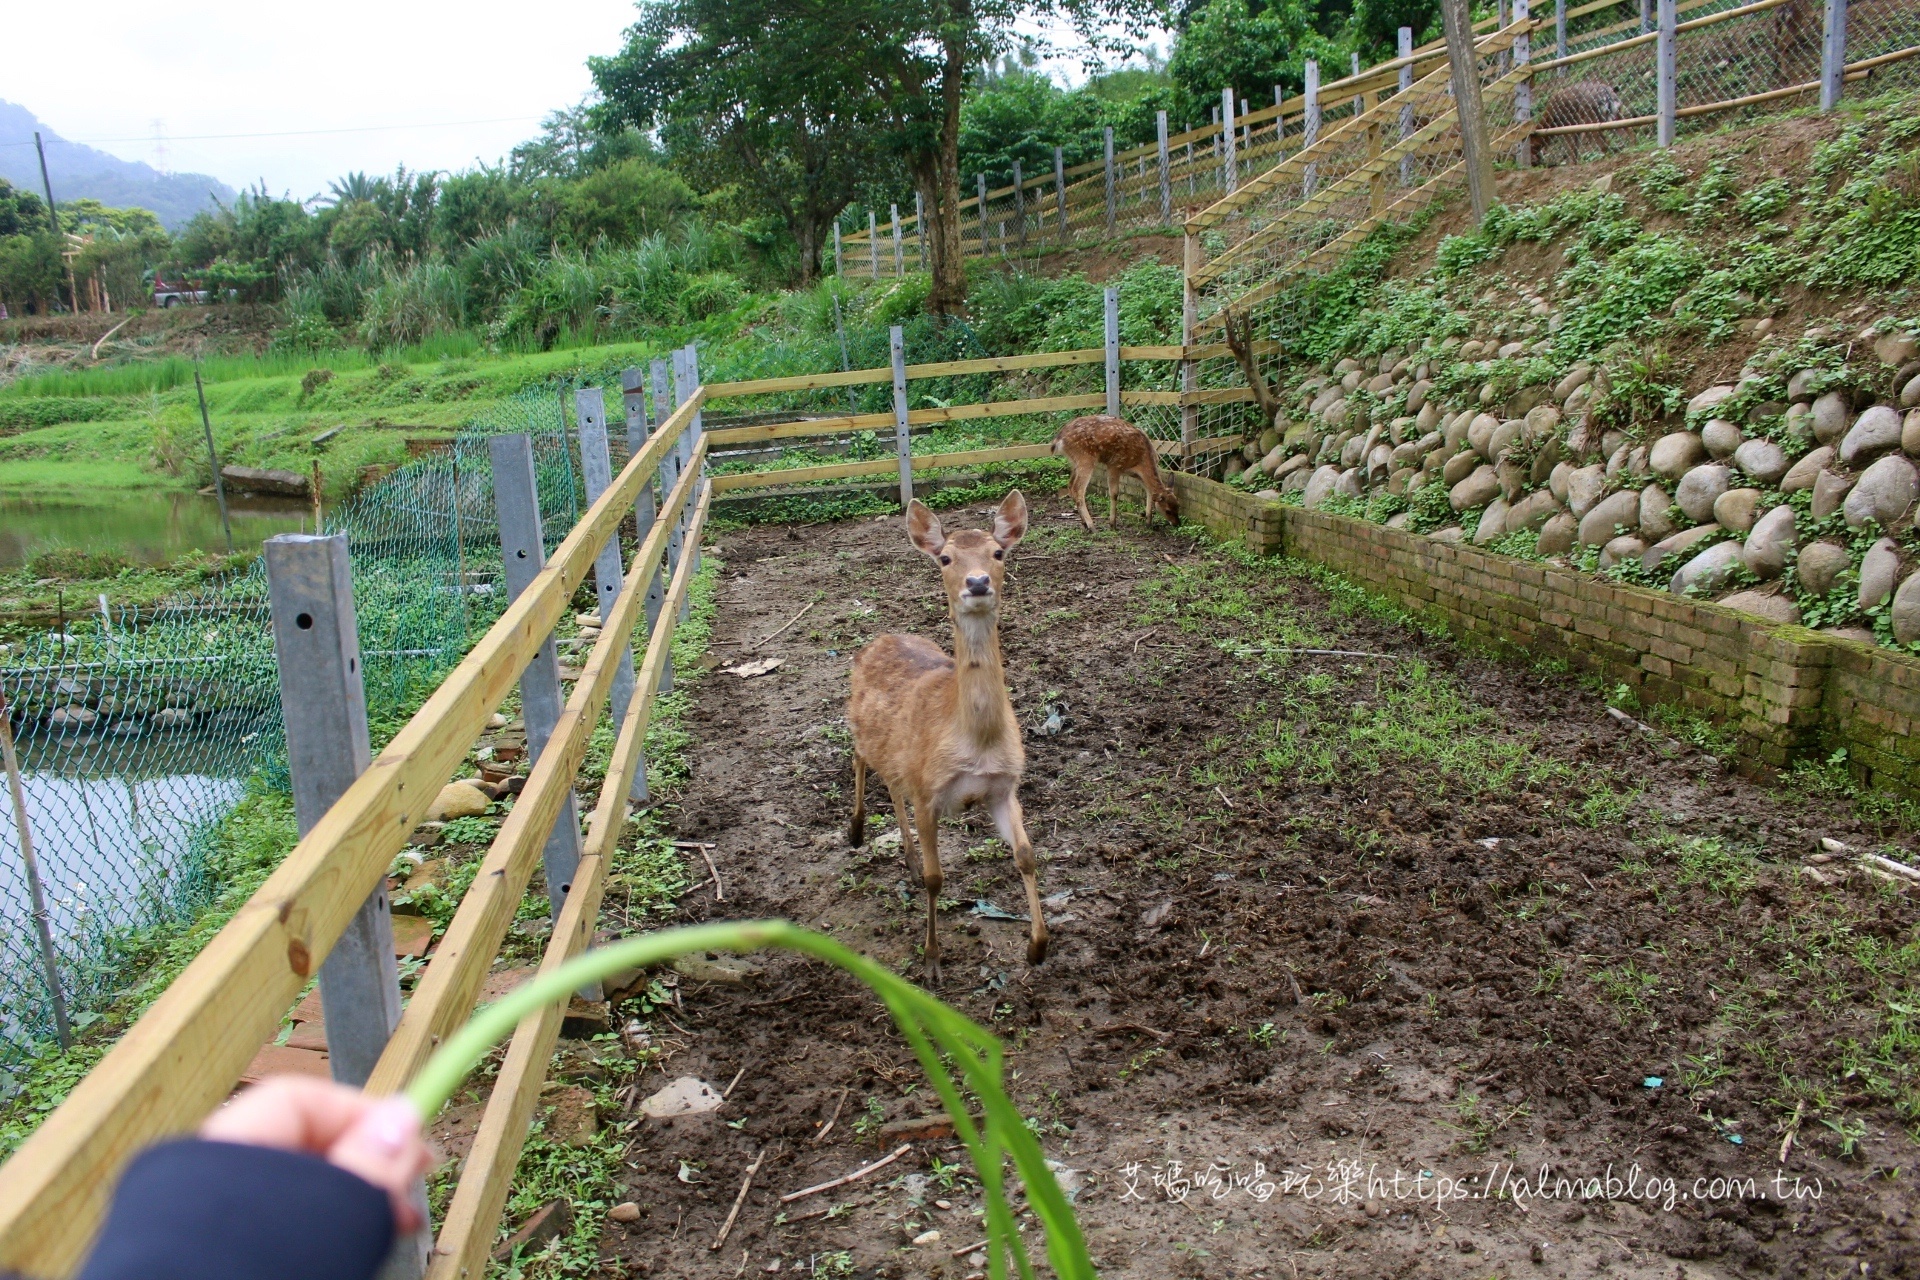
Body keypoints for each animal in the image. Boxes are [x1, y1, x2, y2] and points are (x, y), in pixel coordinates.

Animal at [847, 490, 1043, 983]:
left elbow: (1027, 854)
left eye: (998, 553)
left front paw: (1037, 948)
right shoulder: (929, 792)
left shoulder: (1003, 787)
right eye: (946, 558)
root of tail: (876, 639)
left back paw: (910, 861)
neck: (977, 743)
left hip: (898, 754)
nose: (977, 582)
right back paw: (857, 830)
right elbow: (940, 879)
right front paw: (933, 960)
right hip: (860, 724)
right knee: (859, 757)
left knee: (891, 782)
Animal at [1050, 415, 1181, 532]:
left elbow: (1148, 492)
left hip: (1074, 461)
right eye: (1168, 510)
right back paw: (1092, 526)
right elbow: (1114, 493)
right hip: (1085, 458)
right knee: (1078, 489)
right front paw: (1112, 524)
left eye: (1178, 506)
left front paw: (1148, 522)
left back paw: (1084, 523)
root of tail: (1059, 439)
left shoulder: (1135, 474)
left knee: (1070, 486)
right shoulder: (1115, 465)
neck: (1142, 460)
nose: (1177, 524)